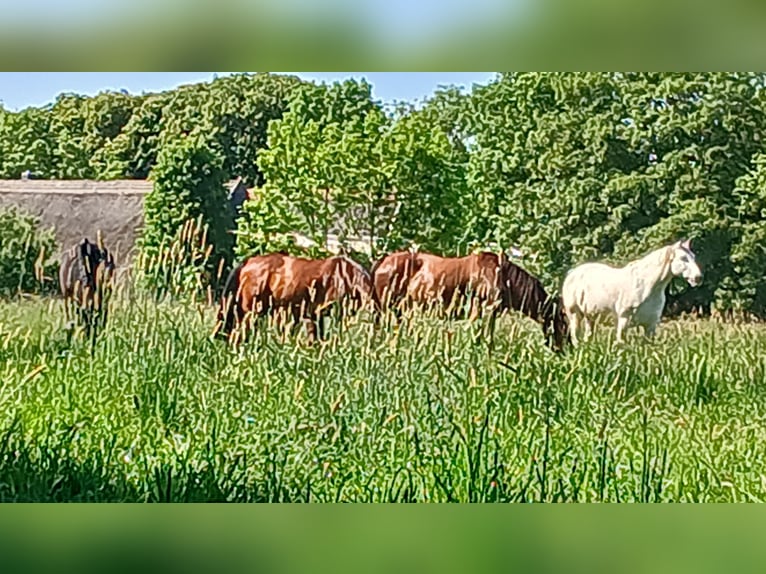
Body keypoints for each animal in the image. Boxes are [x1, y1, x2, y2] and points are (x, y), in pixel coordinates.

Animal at [372, 250, 569, 351]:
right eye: (562, 324)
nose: (565, 350)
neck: (502, 276)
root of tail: (383, 262)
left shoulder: (490, 312)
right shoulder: (482, 309)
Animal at [561, 239, 703, 345]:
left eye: (693, 257)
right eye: (683, 258)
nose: (698, 277)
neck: (646, 287)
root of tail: (572, 273)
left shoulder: (650, 326)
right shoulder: (624, 321)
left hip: (591, 317)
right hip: (575, 315)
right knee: (575, 337)